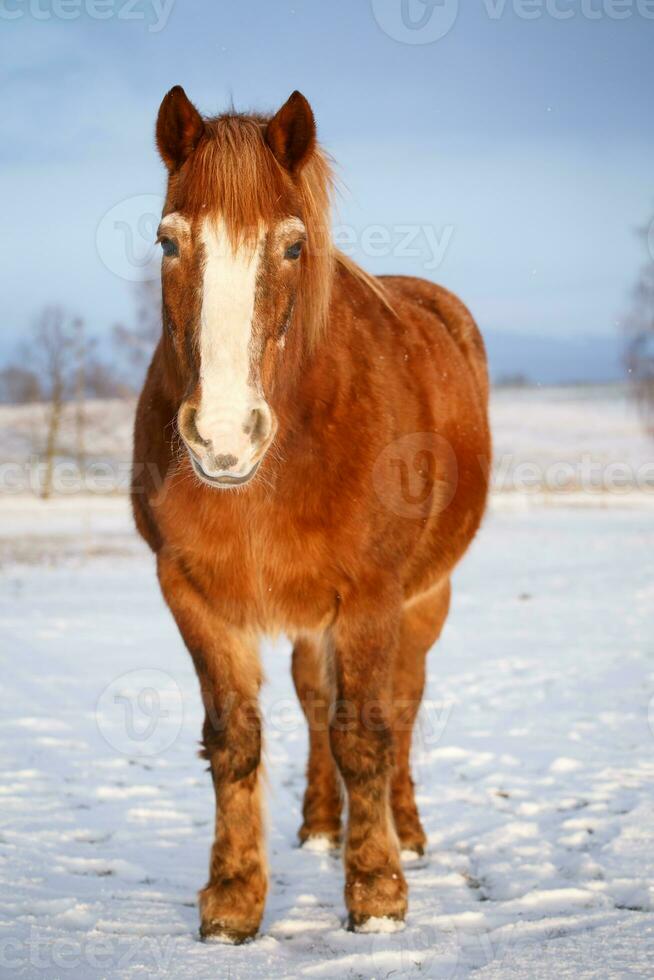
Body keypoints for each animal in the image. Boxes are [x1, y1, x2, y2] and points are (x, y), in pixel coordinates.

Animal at [133, 84, 490, 940]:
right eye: (168, 242)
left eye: (293, 247)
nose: (223, 436)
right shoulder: (190, 592)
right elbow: (234, 739)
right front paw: (233, 899)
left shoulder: (370, 597)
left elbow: (365, 734)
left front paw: (379, 893)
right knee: (313, 697)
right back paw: (323, 828)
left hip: (423, 601)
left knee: (400, 709)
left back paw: (406, 832)